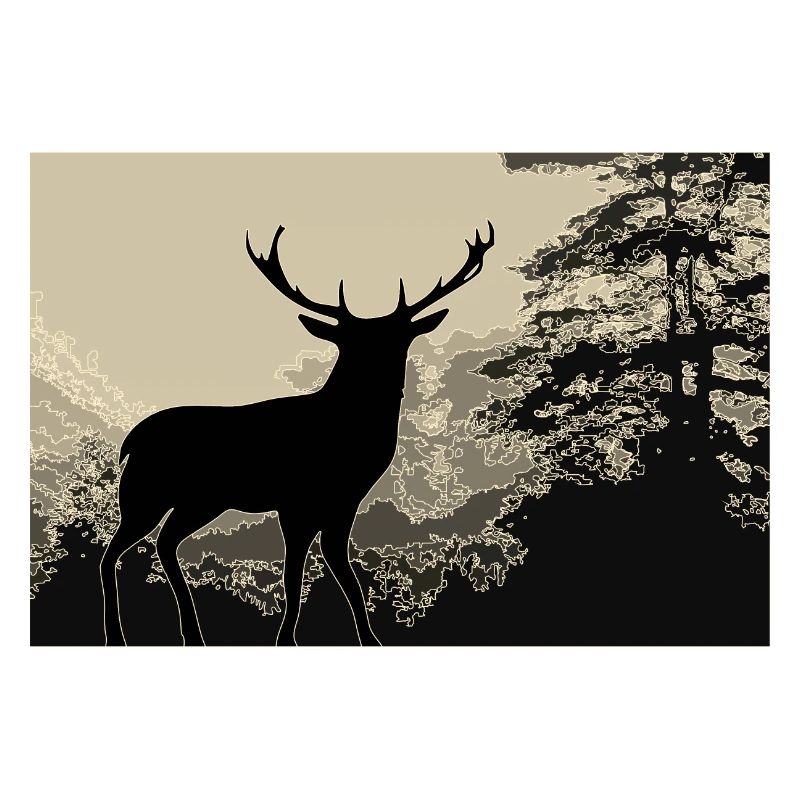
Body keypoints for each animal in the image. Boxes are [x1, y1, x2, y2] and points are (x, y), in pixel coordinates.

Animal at [100, 221, 495, 646]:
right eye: (349, 343)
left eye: (399, 339)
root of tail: (130, 443)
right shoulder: (295, 502)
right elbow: (293, 575)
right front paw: (285, 639)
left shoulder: (343, 504)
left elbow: (345, 574)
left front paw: (369, 639)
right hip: (147, 492)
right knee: (113, 553)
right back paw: (116, 636)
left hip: (201, 500)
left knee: (165, 541)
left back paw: (193, 634)